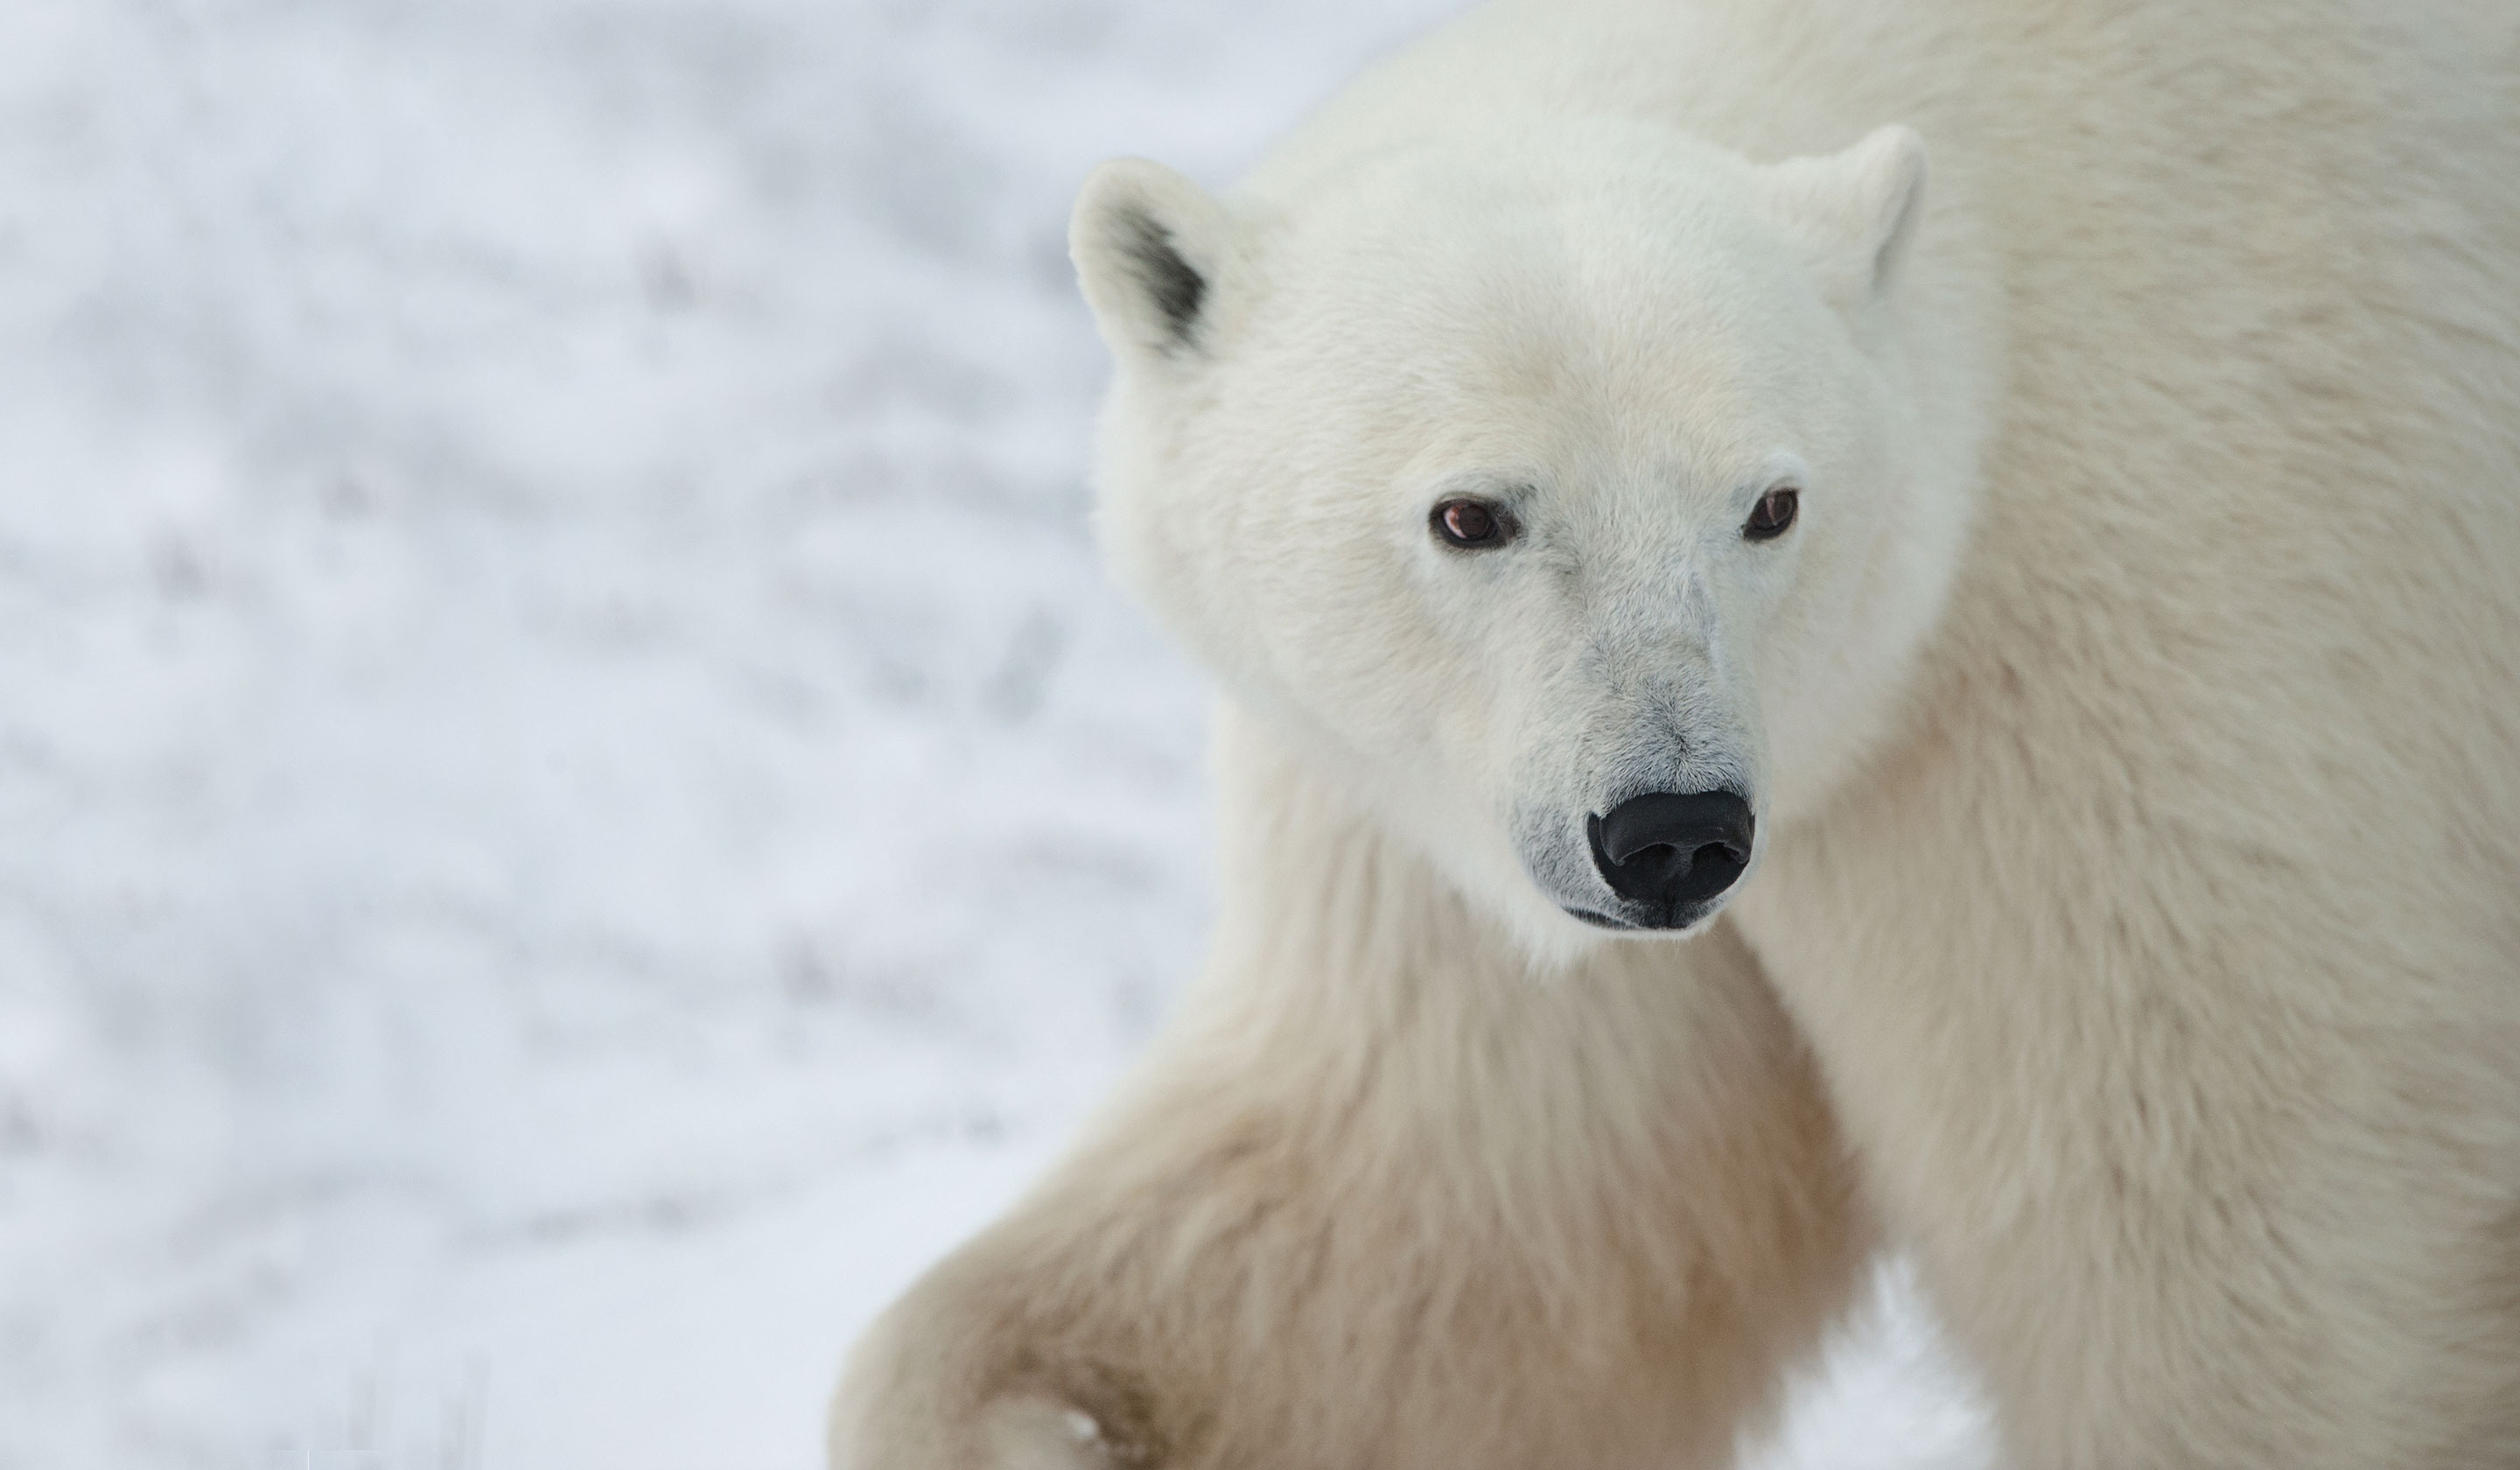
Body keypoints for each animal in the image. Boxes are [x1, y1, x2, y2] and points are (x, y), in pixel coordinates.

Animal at [841, 5, 2520, 1462]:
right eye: (1474, 514)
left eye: (1768, 504)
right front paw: (1029, 1413)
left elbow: (2239, 1261)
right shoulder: (1448, 827)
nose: (1671, 833)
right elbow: (1442, 1220)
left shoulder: (2147, 686)